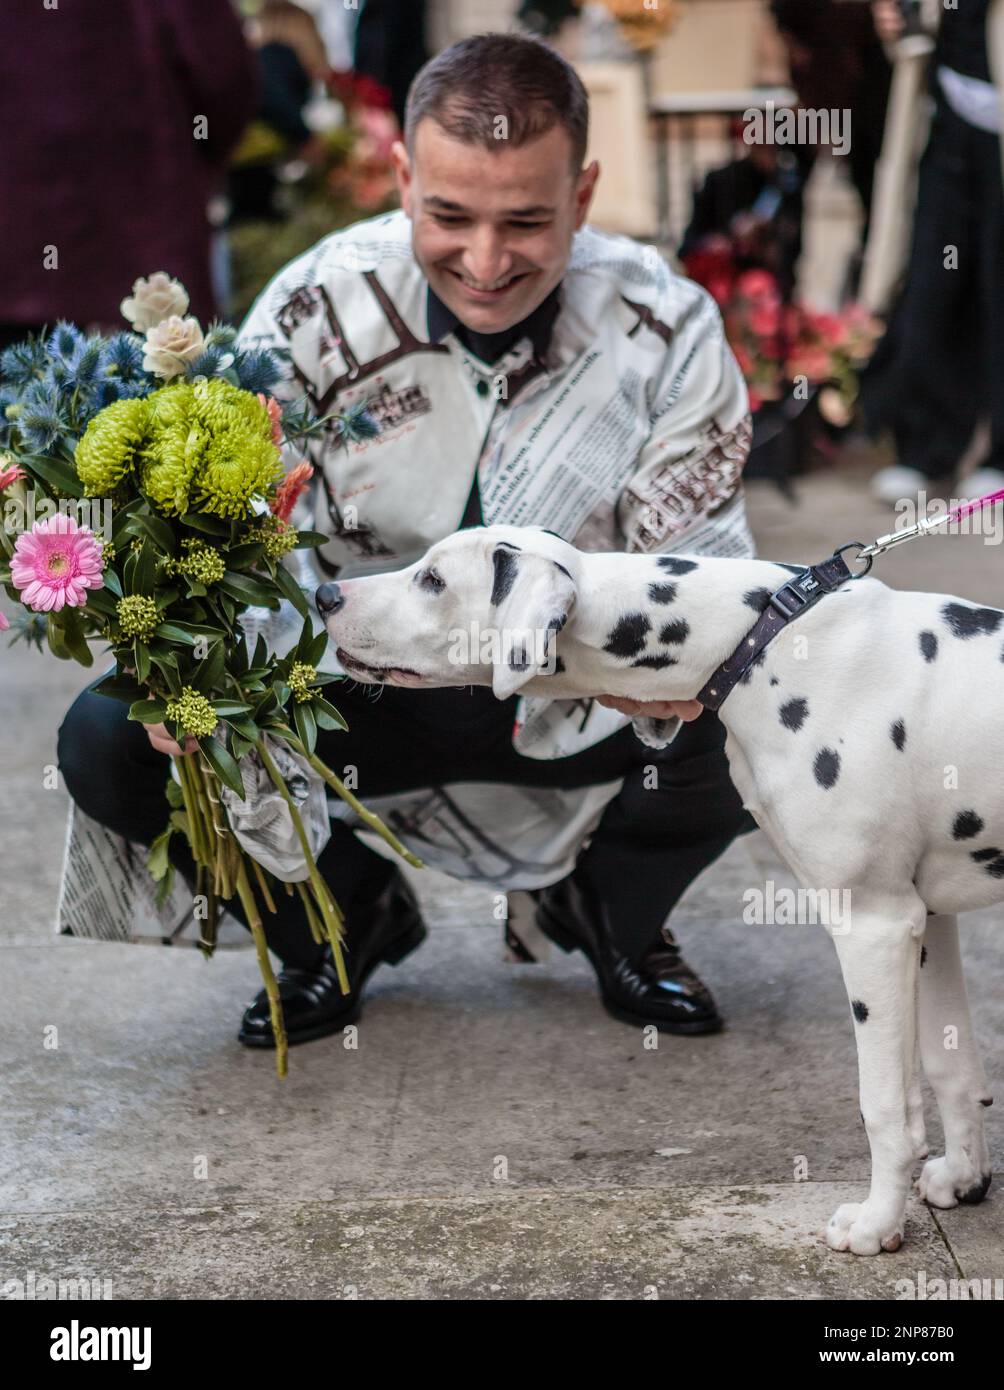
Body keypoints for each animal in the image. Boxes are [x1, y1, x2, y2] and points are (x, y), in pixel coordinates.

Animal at [317, 522, 995, 1262]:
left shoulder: (873, 922)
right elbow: (951, 1063)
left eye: (434, 580)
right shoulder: (925, 920)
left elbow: (885, 1105)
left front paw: (877, 1224)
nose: (324, 595)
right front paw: (963, 1177)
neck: (759, 641)